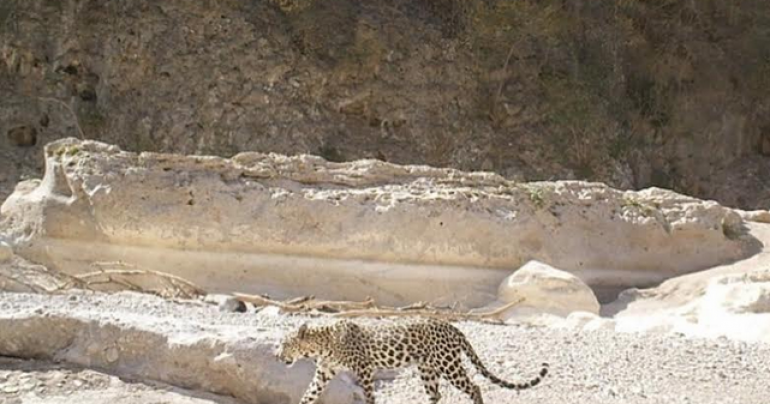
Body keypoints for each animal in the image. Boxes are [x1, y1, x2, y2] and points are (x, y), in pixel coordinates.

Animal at [274, 318, 544, 404]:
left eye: (285, 343)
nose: (276, 356)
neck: (321, 346)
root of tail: (452, 326)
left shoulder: (364, 369)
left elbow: (369, 396)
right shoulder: (323, 374)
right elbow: (308, 395)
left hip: (448, 364)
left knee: (474, 387)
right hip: (428, 369)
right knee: (436, 394)